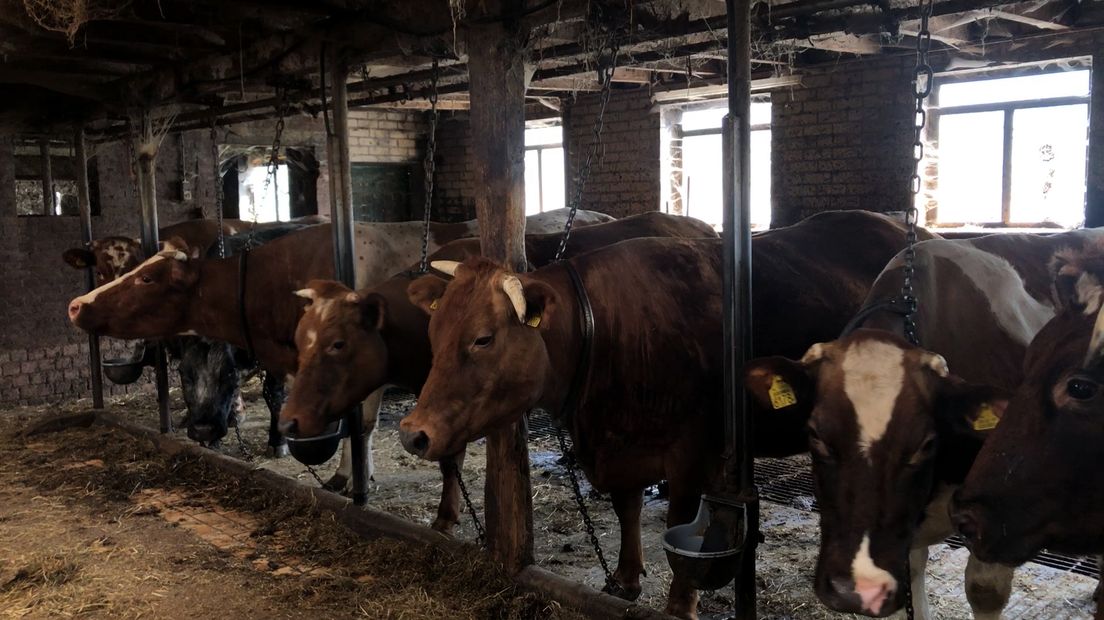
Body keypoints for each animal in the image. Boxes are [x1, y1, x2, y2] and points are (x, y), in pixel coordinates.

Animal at [399, 209, 931, 613]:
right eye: (434, 333)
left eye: (483, 338)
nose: (413, 432)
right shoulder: (621, 445)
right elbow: (627, 506)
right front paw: (627, 576)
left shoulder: (692, 453)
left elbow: (680, 519)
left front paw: (680, 605)